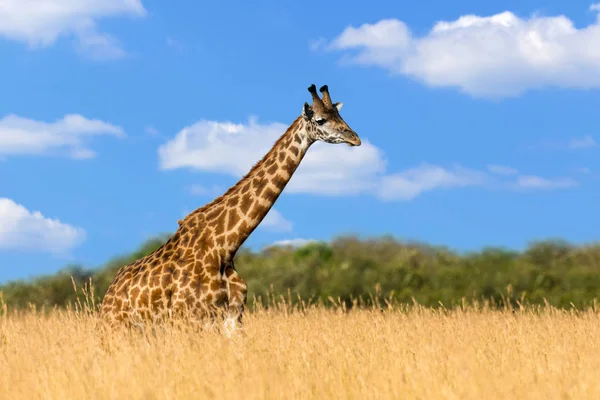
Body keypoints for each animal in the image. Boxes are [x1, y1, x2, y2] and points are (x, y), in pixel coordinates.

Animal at [99, 85, 360, 338]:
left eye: (340, 116)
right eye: (320, 120)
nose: (355, 138)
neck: (225, 246)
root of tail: (108, 295)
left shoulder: (233, 318)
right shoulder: (191, 318)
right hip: (119, 328)